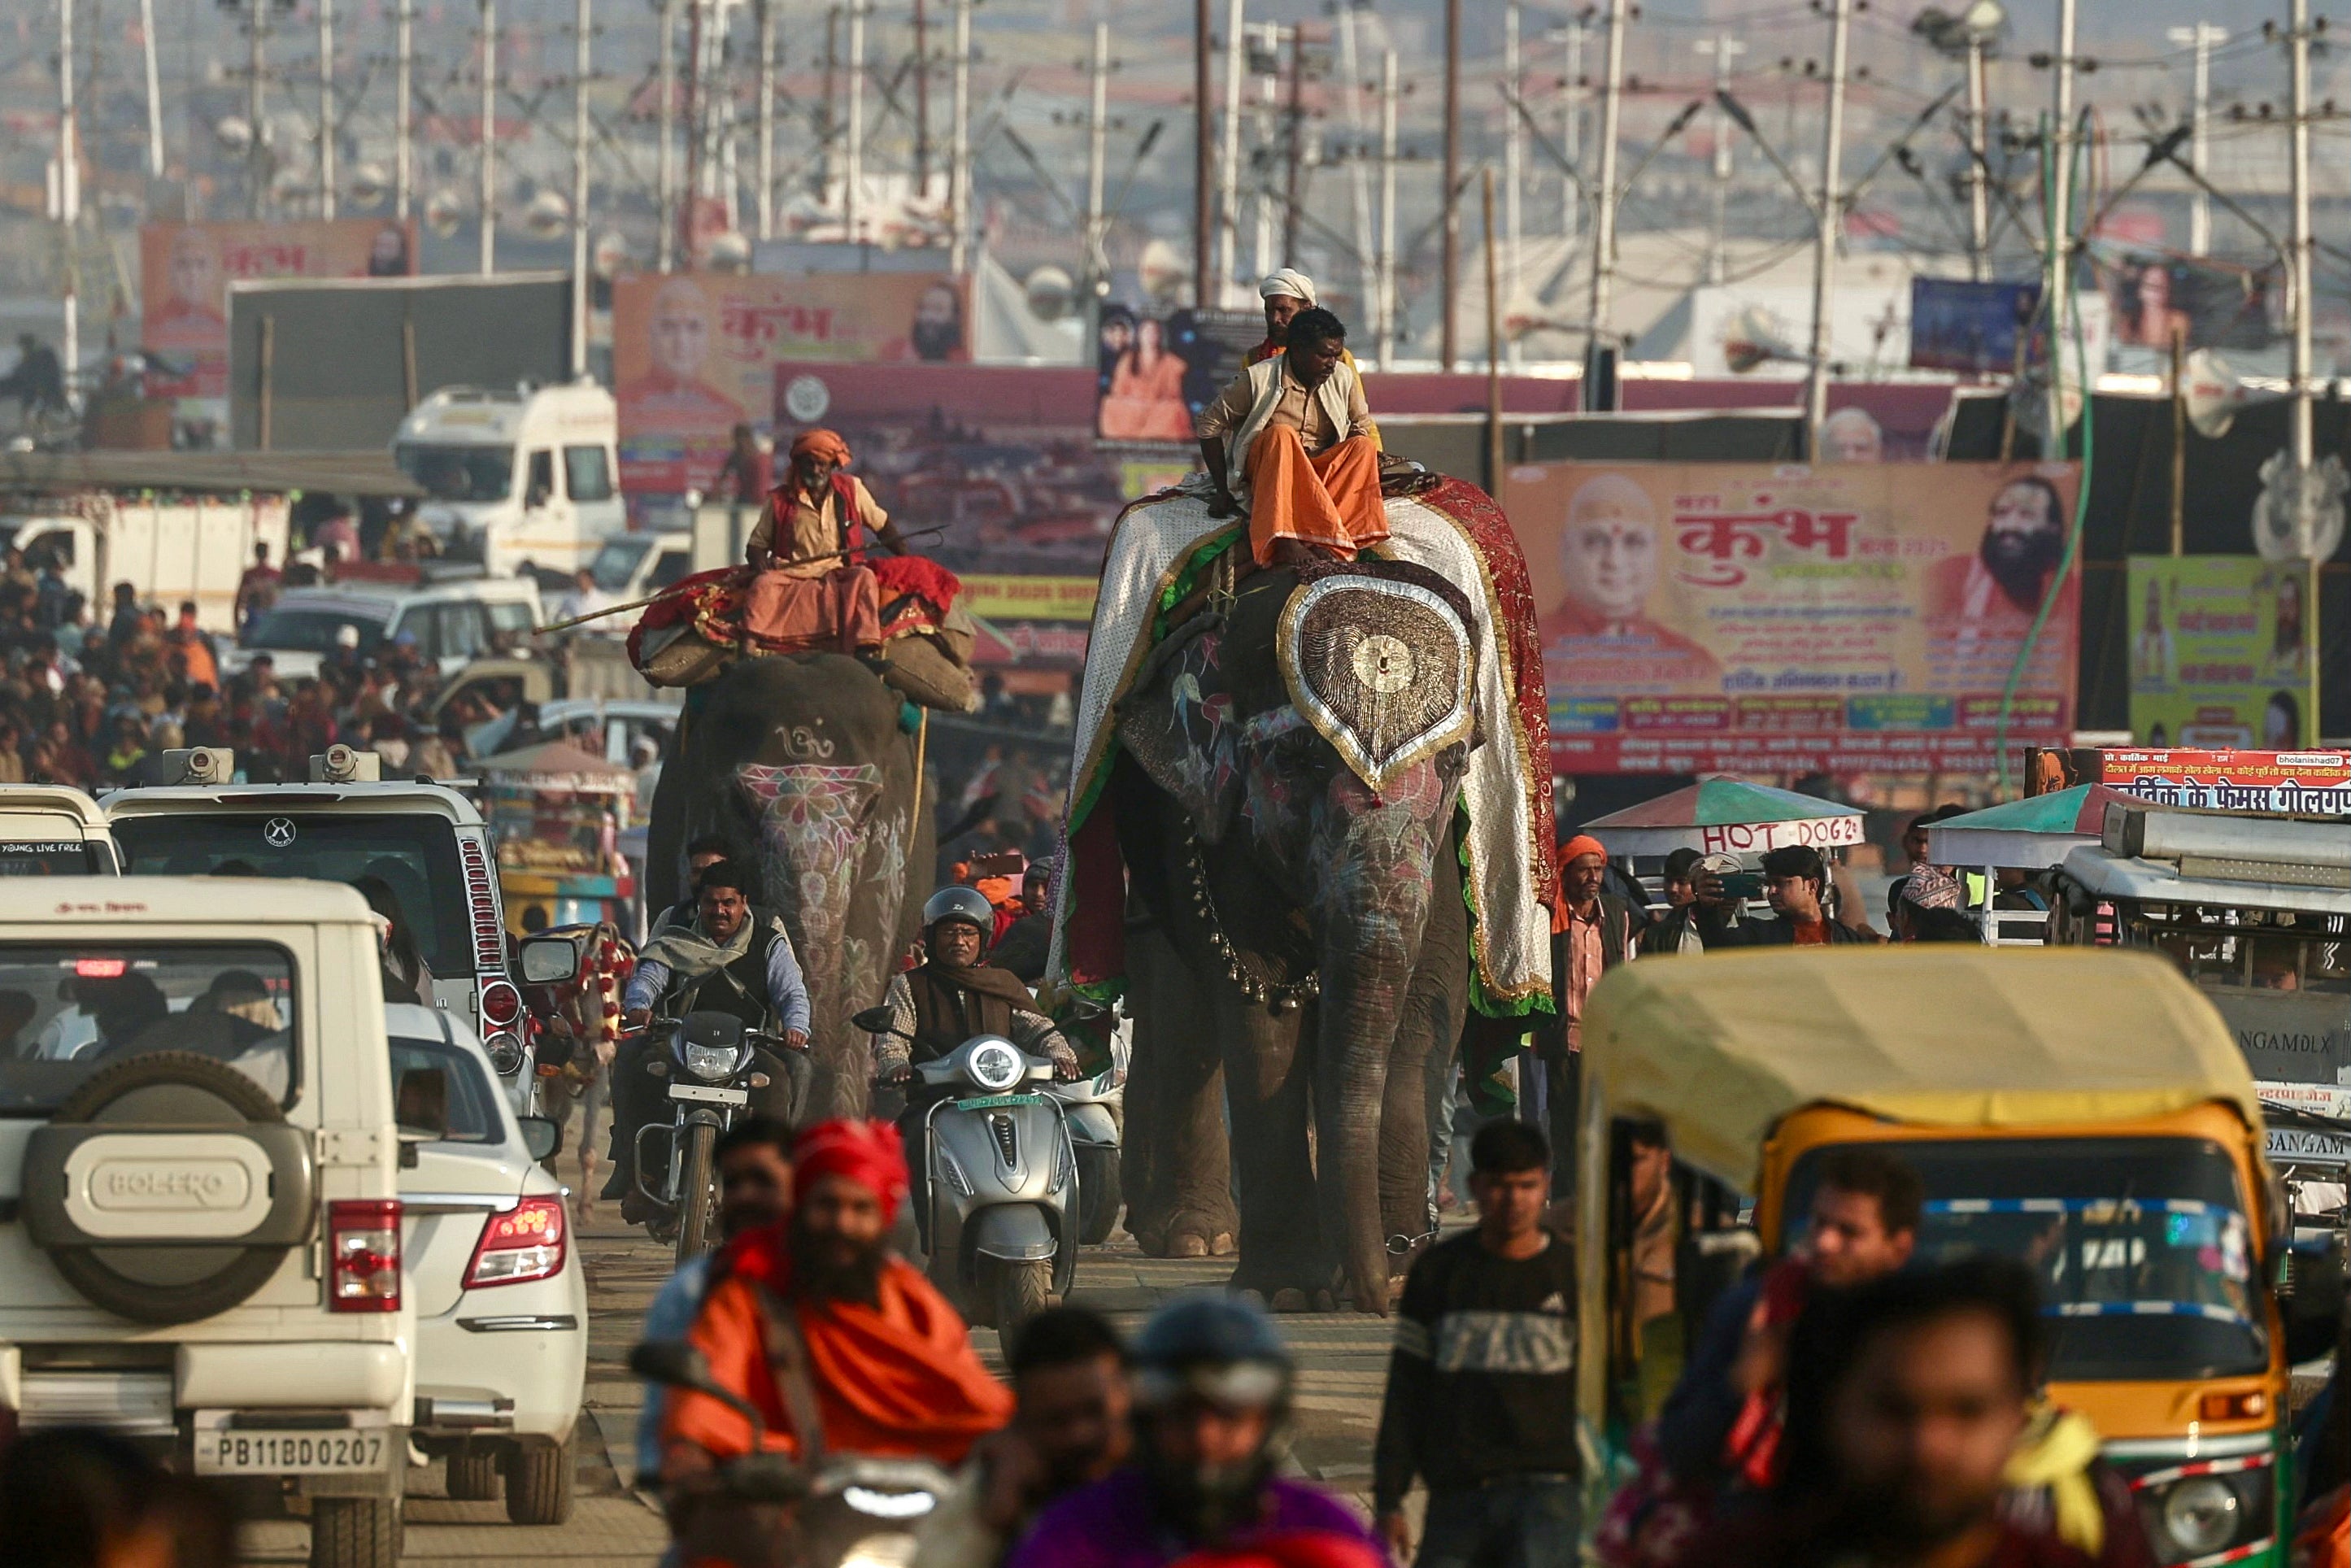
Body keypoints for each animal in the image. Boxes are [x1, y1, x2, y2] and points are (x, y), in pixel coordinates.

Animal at [1099, 564, 1466, 1316]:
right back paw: (1191, 1238)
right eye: (1297, 762)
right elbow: (1258, 999)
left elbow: (1426, 995)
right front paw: (1291, 1291)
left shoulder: (1443, 848)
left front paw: (1398, 1274)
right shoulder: (1211, 827)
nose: (1375, 1297)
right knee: (1179, 1004)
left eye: (1450, 770)